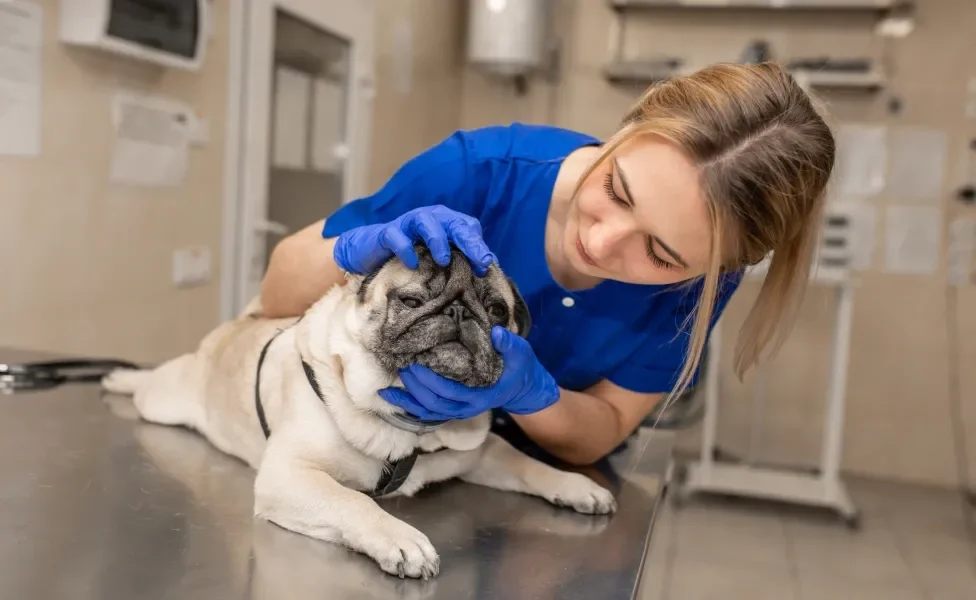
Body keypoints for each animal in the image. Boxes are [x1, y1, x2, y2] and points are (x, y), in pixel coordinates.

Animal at [101, 245, 616, 580]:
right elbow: (353, 501)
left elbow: (527, 464)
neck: (411, 423)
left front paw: (577, 486)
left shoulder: (481, 452)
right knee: (151, 382)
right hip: (166, 399)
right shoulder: (289, 476)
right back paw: (118, 379)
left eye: (495, 311)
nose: (459, 314)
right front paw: (398, 539)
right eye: (409, 300)